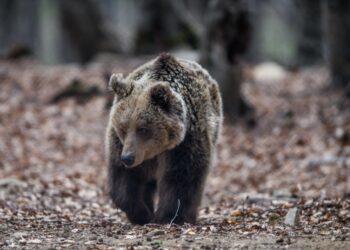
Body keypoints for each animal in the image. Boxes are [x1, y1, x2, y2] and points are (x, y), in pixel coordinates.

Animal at [105, 52, 223, 225]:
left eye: (143, 129)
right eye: (123, 128)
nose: (128, 158)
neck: (156, 150)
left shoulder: (184, 143)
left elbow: (181, 177)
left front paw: (168, 216)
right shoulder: (120, 145)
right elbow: (125, 179)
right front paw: (142, 213)